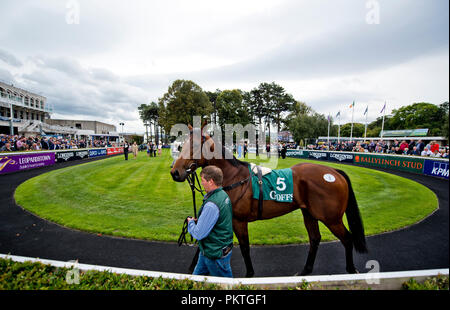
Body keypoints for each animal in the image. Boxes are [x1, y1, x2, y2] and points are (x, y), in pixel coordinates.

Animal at [169, 127, 366, 278]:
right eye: (182, 144)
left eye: (194, 145)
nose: (175, 172)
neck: (235, 178)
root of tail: (334, 171)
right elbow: (204, 241)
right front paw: (192, 269)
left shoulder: (238, 220)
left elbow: (244, 247)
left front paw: (249, 274)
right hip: (309, 214)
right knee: (315, 239)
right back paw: (305, 270)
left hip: (331, 218)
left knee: (347, 238)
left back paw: (351, 270)